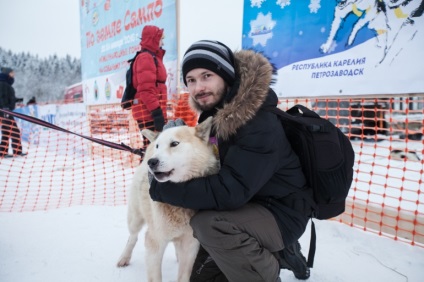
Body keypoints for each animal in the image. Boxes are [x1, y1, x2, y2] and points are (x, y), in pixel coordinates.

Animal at [117, 115, 220, 280]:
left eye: (174, 144)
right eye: (158, 146)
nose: (152, 162)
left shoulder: (190, 245)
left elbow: (184, 275)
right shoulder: (154, 243)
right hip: (135, 218)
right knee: (132, 237)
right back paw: (124, 258)